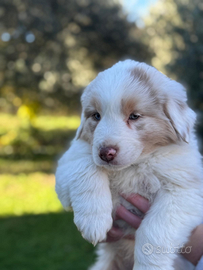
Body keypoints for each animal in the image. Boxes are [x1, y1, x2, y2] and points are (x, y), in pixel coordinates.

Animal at [55, 60, 203, 270]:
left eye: (134, 116)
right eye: (96, 116)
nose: (106, 153)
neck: (134, 165)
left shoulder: (185, 191)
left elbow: (153, 230)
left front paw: (149, 266)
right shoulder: (69, 163)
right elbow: (86, 168)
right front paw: (93, 222)